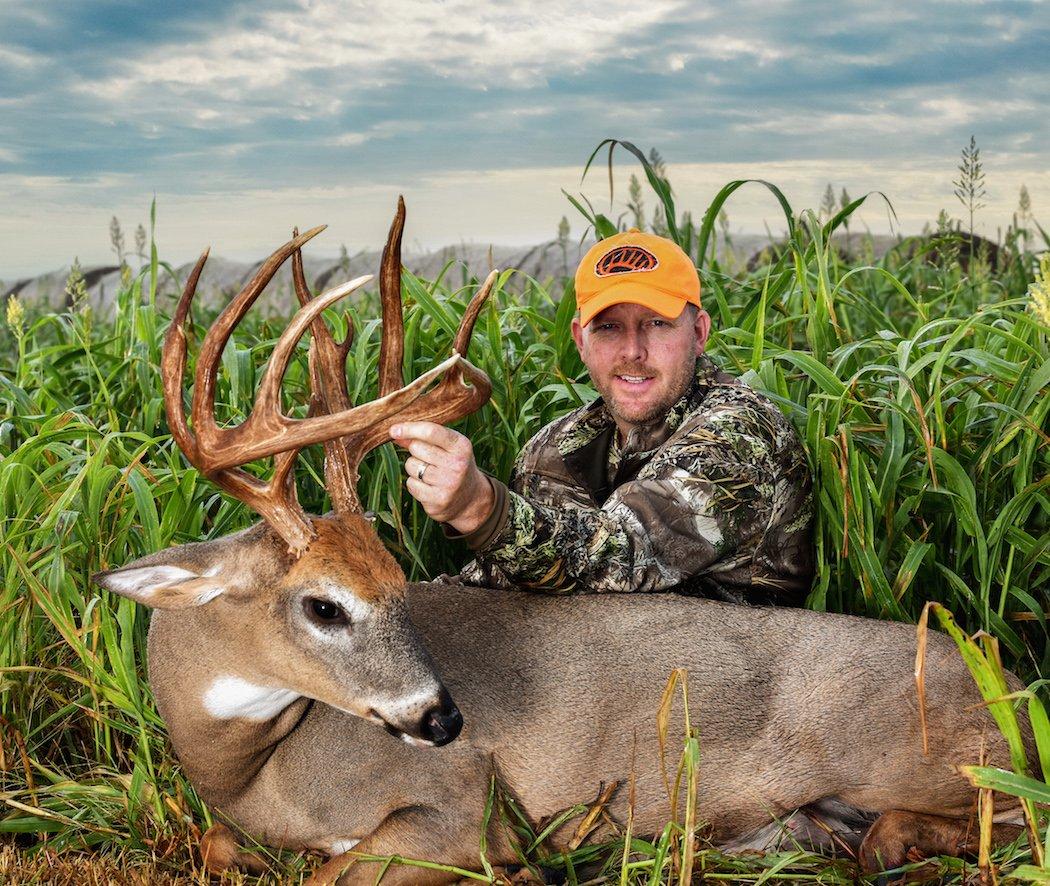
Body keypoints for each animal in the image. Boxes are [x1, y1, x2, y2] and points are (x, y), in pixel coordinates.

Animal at [93, 199, 1038, 885]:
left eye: (397, 586)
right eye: (324, 605)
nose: (445, 718)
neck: (254, 768)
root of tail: (1017, 684)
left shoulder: (455, 806)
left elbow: (336, 876)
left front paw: (524, 865)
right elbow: (217, 847)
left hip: (926, 755)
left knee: (1018, 814)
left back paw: (877, 842)